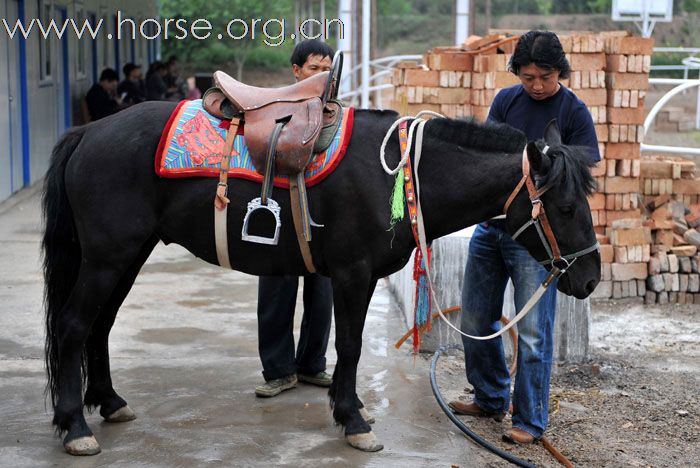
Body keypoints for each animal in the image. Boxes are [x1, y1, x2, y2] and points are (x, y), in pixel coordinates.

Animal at [41, 100, 600, 456]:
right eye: (567, 207)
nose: (591, 278)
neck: (400, 175)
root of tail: (89, 132)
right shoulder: (352, 274)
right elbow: (348, 345)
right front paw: (353, 420)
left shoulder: (361, 276)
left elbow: (347, 345)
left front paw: (347, 409)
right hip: (108, 258)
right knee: (72, 326)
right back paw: (74, 426)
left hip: (125, 256)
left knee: (99, 326)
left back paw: (109, 402)